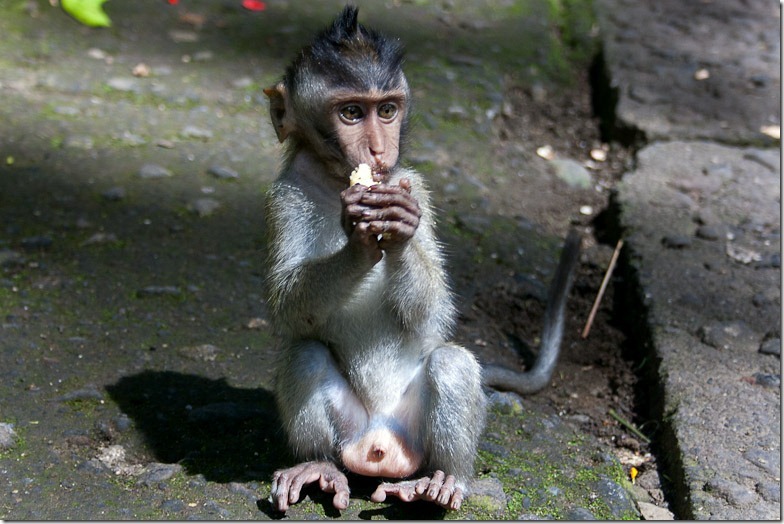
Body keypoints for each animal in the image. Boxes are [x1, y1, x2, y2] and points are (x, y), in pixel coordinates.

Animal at [264, 5, 580, 512]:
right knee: (305, 353)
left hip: (414, 431)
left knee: (450, 363)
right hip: (349, 430)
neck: (335, 180)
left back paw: (443, 479)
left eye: (387, 110)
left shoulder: (416, 187)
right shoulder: (284, 197)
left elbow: (435, 313)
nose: (378, 149)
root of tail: (377, 444)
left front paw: (397, 231)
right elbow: (288, 307)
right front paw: (358, 240)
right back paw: (318, 465)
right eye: (351, 112)